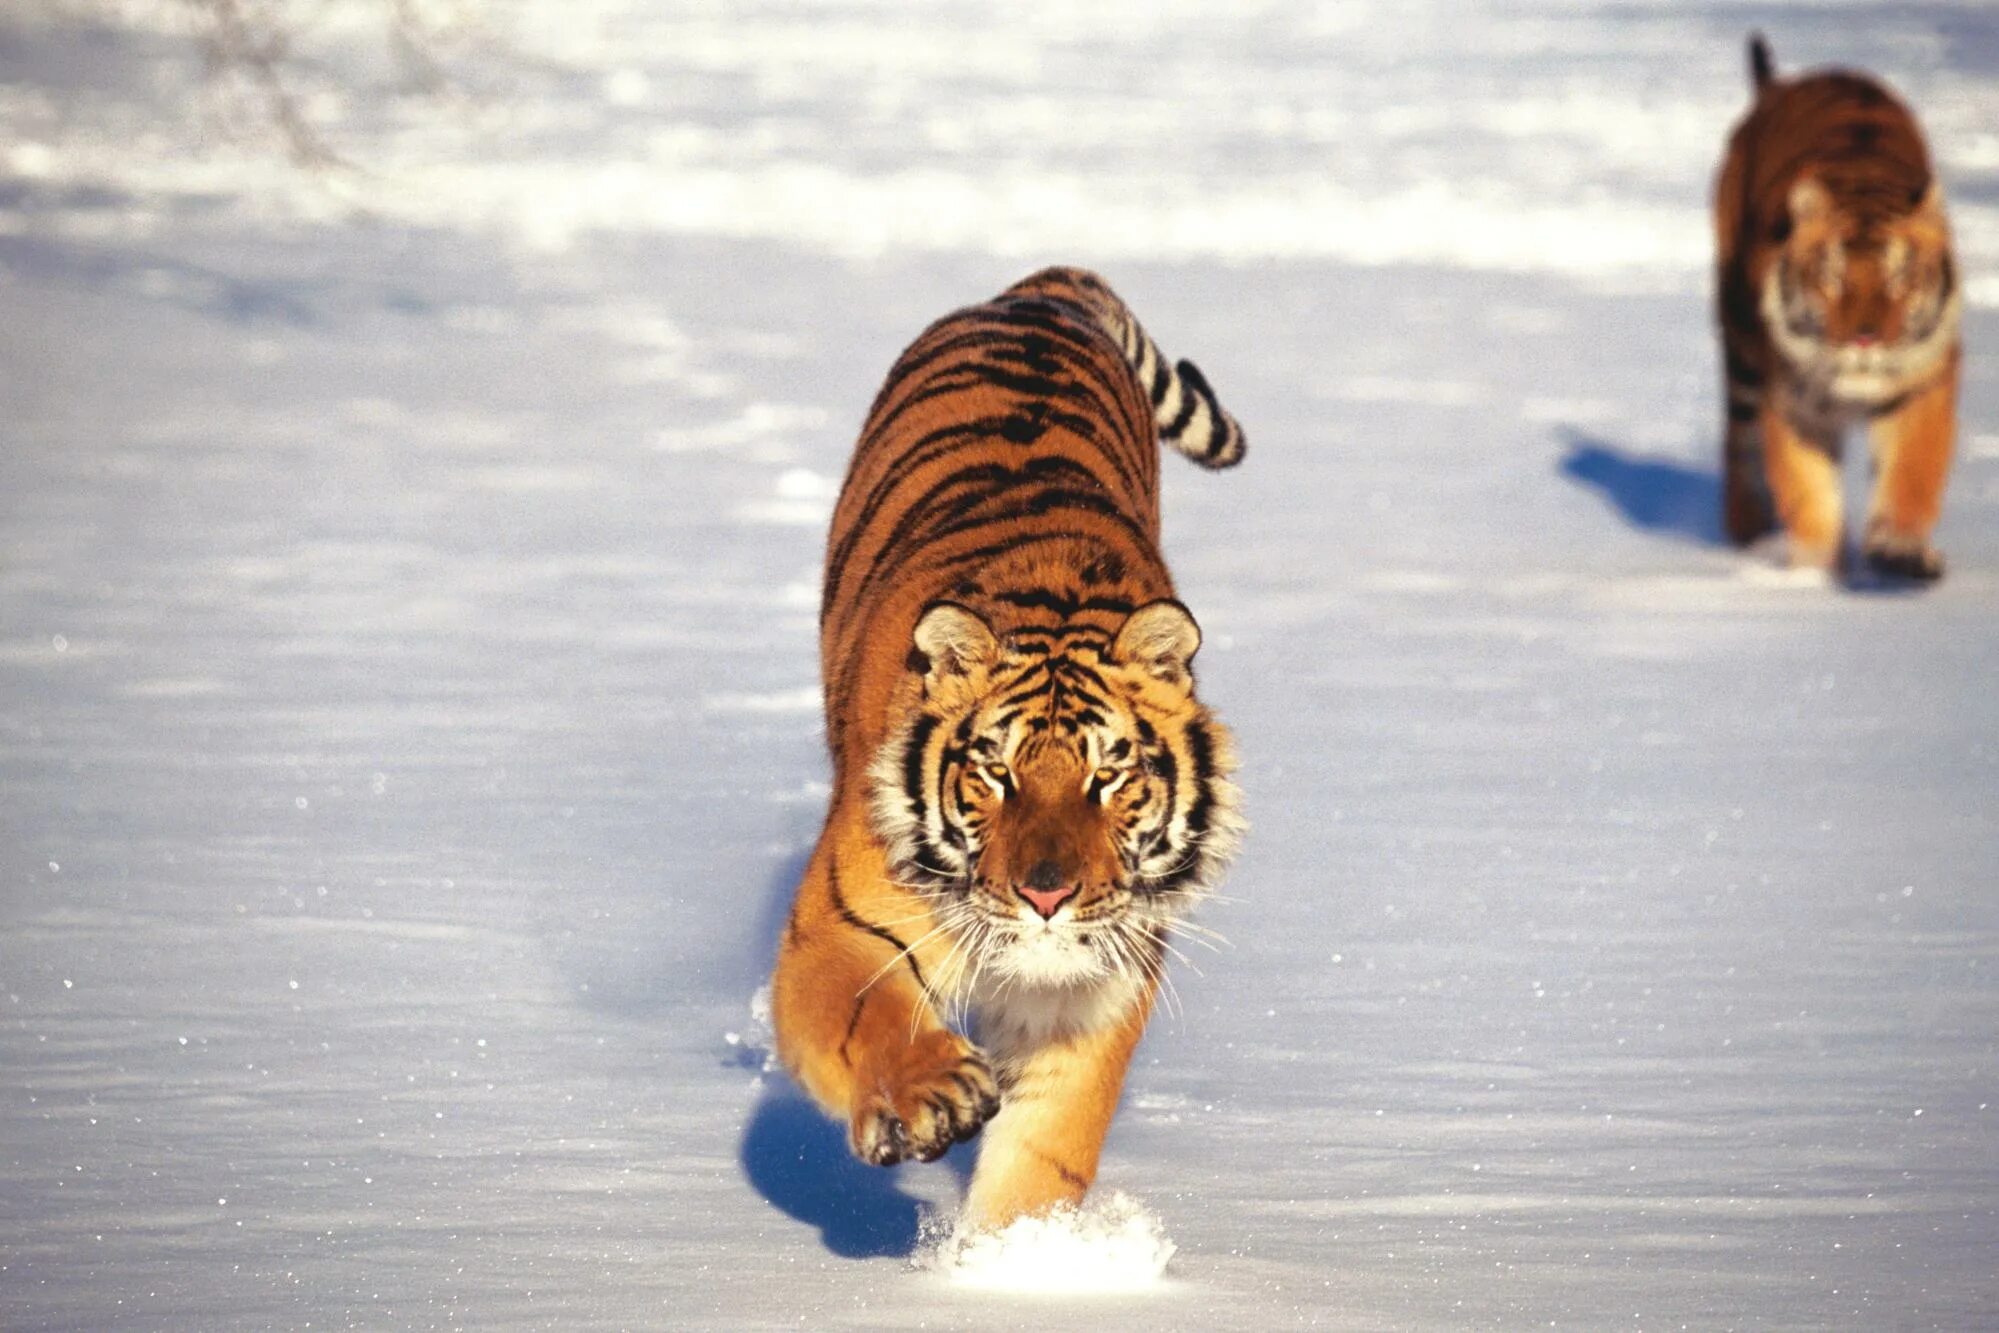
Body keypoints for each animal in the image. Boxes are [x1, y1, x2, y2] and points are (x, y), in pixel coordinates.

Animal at [769, 266, 1245, 1233]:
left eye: (1109, 774)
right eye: (995, 772)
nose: (1046, 896)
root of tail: (1039, 285)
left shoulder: (1096, 984)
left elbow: (1044, 1154)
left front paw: (1012, 1257)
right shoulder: (833, 932)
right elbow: (864, 1013)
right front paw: (927, 1095)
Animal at [1713, 34, 1962, 580]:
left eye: (1900, 277)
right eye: (1832, 277)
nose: (1864, 339)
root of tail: (1781, 85)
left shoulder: (1922, 384)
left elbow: (1912, 471)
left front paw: (1900, 548)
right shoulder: (1792, 404)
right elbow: (1810, 496)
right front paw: (1814, 577)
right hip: (1740, 343)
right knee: (1738, 437)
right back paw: (1747, 529)